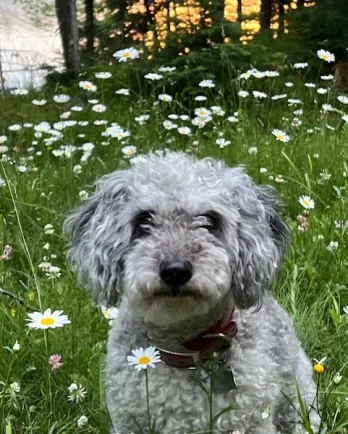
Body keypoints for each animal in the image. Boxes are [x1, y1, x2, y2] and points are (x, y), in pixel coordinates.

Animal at [64, 152, 320, 434]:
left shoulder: (251, 421)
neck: (186, 352)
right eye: (144, 220)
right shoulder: (128, 422)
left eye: (210, 220)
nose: (175, 271)